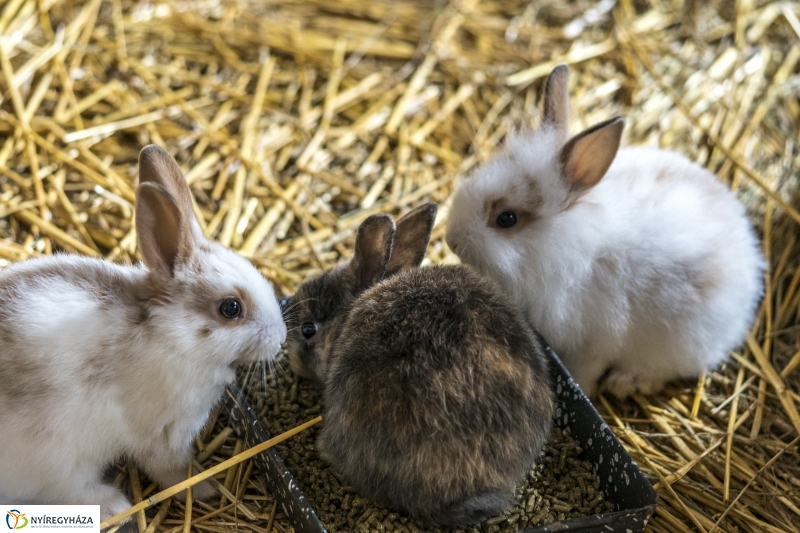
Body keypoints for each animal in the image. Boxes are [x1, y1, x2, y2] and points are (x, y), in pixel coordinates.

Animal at [0, 145, 288, 520]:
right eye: (231, 308)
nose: (281, 337)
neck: (170, 334)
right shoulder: (163, 437)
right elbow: (173, 471)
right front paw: (205, 489)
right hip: (55, 459)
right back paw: (114, 504)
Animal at [446, 63, 764, 394]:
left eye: (506, 219)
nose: (451, 241)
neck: (561, 244)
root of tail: (753, 271)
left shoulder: (590, 344)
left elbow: (585, 371)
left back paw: (624, 382)